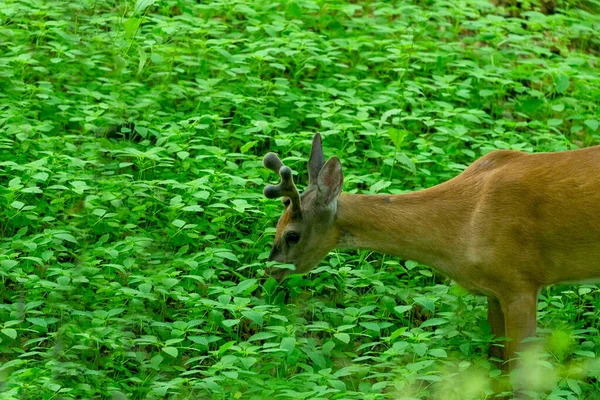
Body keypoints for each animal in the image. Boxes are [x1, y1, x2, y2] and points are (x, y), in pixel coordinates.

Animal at [262, 134, 600, 372]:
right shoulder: (494, 292)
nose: (269, 273)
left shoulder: (521, 283)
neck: (464, 224)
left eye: (292, 235)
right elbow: (497, 366)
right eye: (276, 224)